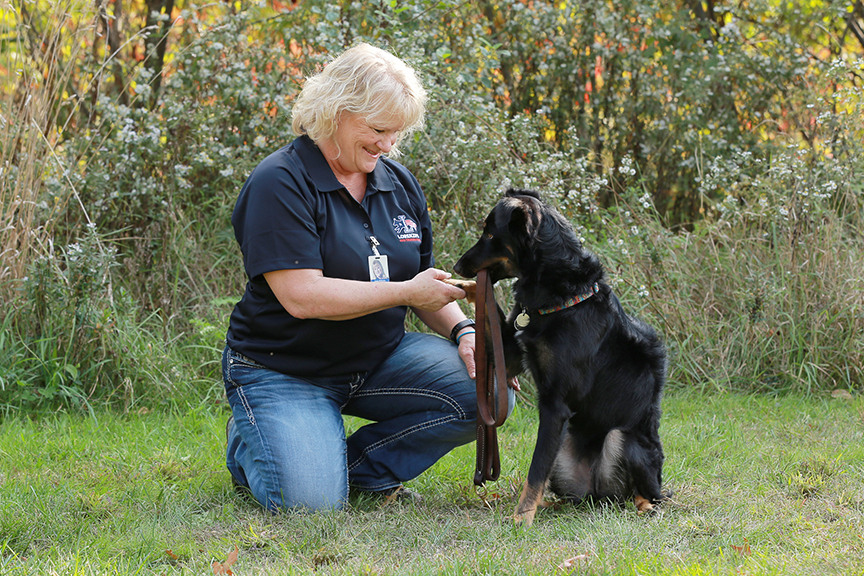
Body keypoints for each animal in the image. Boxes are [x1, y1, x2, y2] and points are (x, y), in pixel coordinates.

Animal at [452, 189, 668, 528]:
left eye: (489, 234)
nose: (458, 266)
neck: (560, 294)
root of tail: (597, 491)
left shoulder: (555, 405)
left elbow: (535, 469)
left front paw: (521, 518)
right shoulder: (510, 357)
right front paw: (463, 286)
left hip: (625, 440)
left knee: (648, 492)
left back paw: (645, 505)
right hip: (564, 460)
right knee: (570, 494)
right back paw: (553, 505)